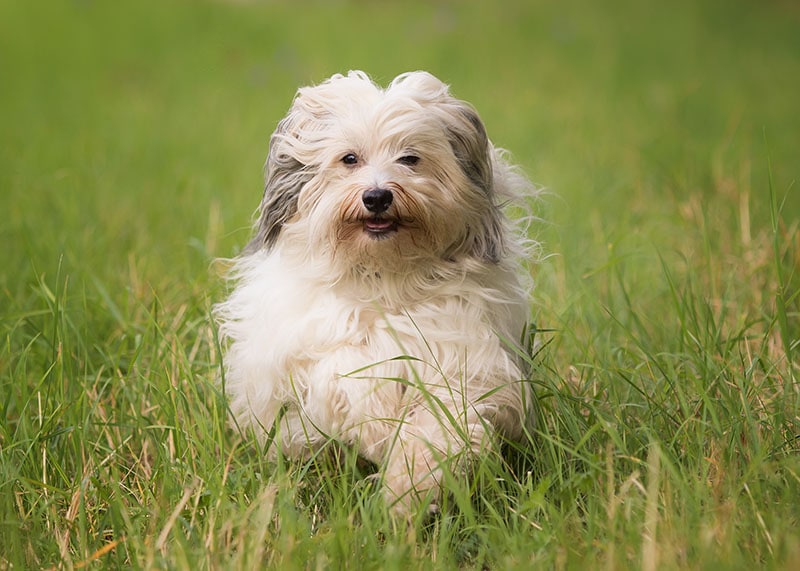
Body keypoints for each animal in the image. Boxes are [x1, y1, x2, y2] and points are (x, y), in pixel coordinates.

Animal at [216, 70, 536, 520]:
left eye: (410, 158)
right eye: (349, 159)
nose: (378, 196)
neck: (384, 277)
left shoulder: (463, 362)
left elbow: (438, 428)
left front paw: (407, 492)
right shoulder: (316, 345)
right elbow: (349, 378)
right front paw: (379, 432)